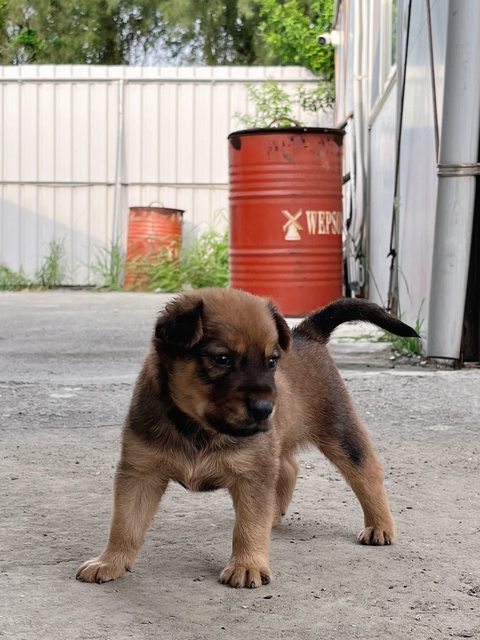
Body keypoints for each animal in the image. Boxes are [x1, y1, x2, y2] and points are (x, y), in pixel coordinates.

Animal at [76, 288, 418, 588]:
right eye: (222, 359)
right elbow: (126, 524)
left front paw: (247, 565)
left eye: (271, 362)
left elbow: (248, 526)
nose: (265, 409)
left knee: (366, 471)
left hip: (339, 432)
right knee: (289, 468)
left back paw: (379, 526)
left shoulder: (252, 473)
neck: (198, 428)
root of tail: (308, 334)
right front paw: (110, 561)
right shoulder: (140, 472)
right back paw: (276, 515)